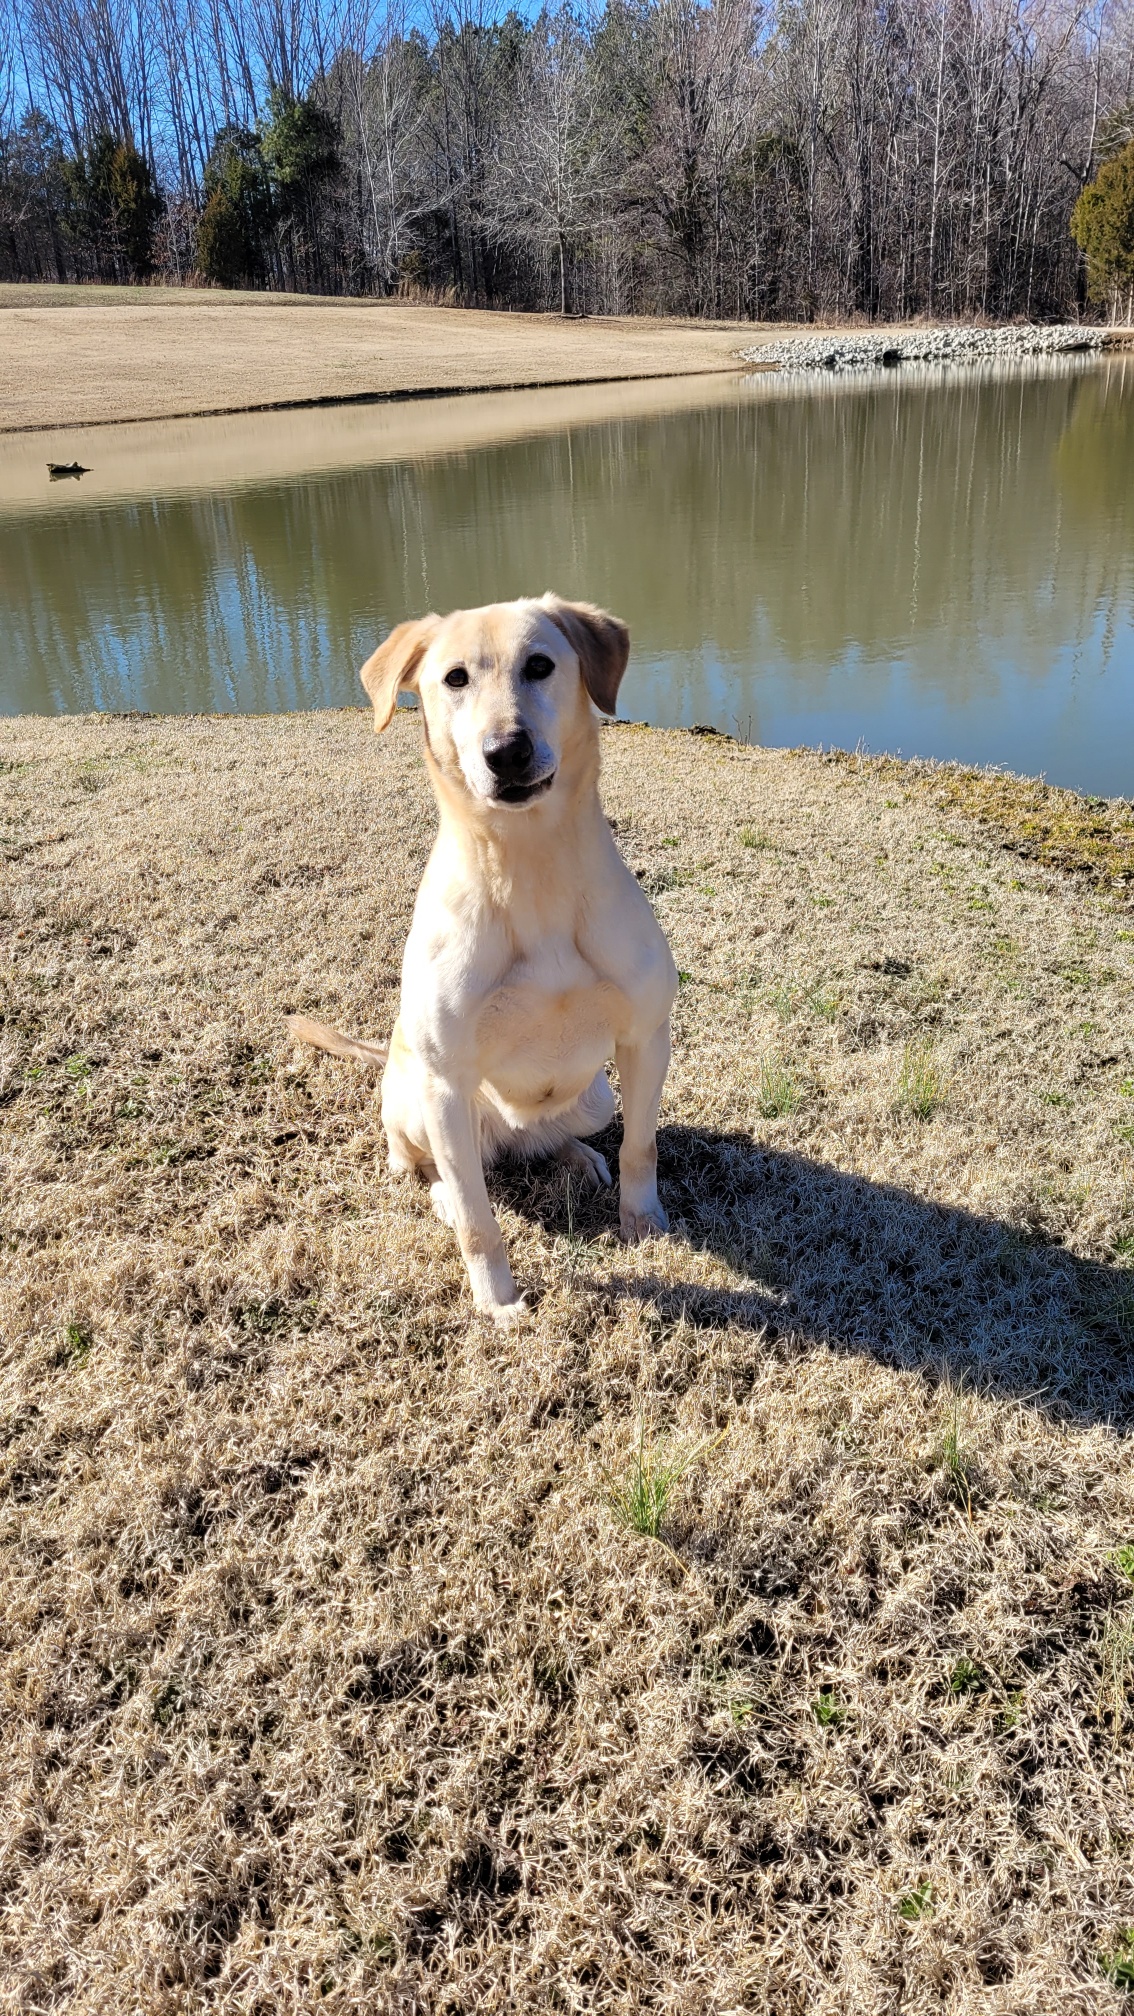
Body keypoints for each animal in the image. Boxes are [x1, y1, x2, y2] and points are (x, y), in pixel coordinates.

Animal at [286, 592, 673, 1322]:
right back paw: (435, 1185)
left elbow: (642, 1148)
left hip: (595, 1095)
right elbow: (476, 1218)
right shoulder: (445, 1085)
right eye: (455, 678)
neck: (528, 865)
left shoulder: (645, 1038)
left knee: (550, 1139)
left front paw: (644, 1224)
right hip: (419, 1100)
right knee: (421, 1165)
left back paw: (576, 1157)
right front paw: (497, 1300)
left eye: (541, 665)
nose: (507, 752)